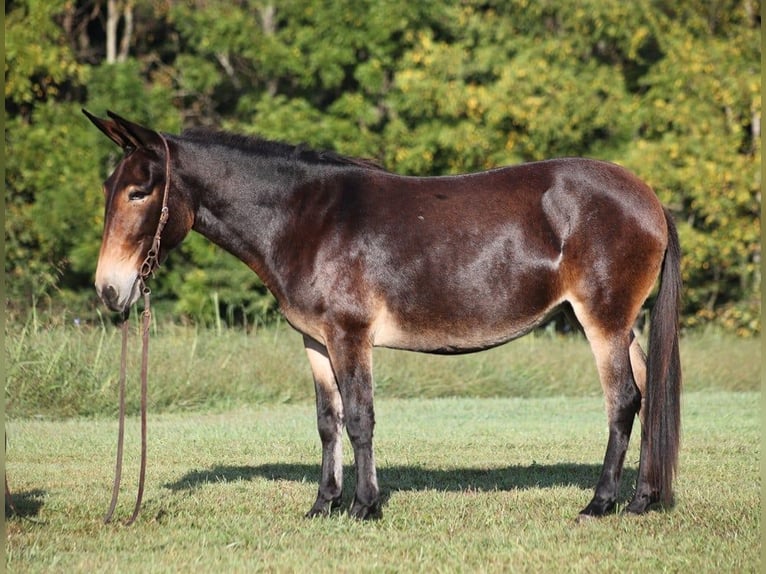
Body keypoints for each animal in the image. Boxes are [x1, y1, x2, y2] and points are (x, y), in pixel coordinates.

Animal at [84, 110, 681, 520]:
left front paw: (364, 506)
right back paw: (642, 500)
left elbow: (360, 417)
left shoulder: (350, 335)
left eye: (140, 192)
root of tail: (649, 197)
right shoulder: (316, 340)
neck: (305, 221)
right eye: (109, 188)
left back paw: (599, 503)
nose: (109, 292)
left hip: (602, 320)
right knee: (648, 395)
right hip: (623, 325)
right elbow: (328, 422)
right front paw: (323, 505)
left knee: (623, 401)